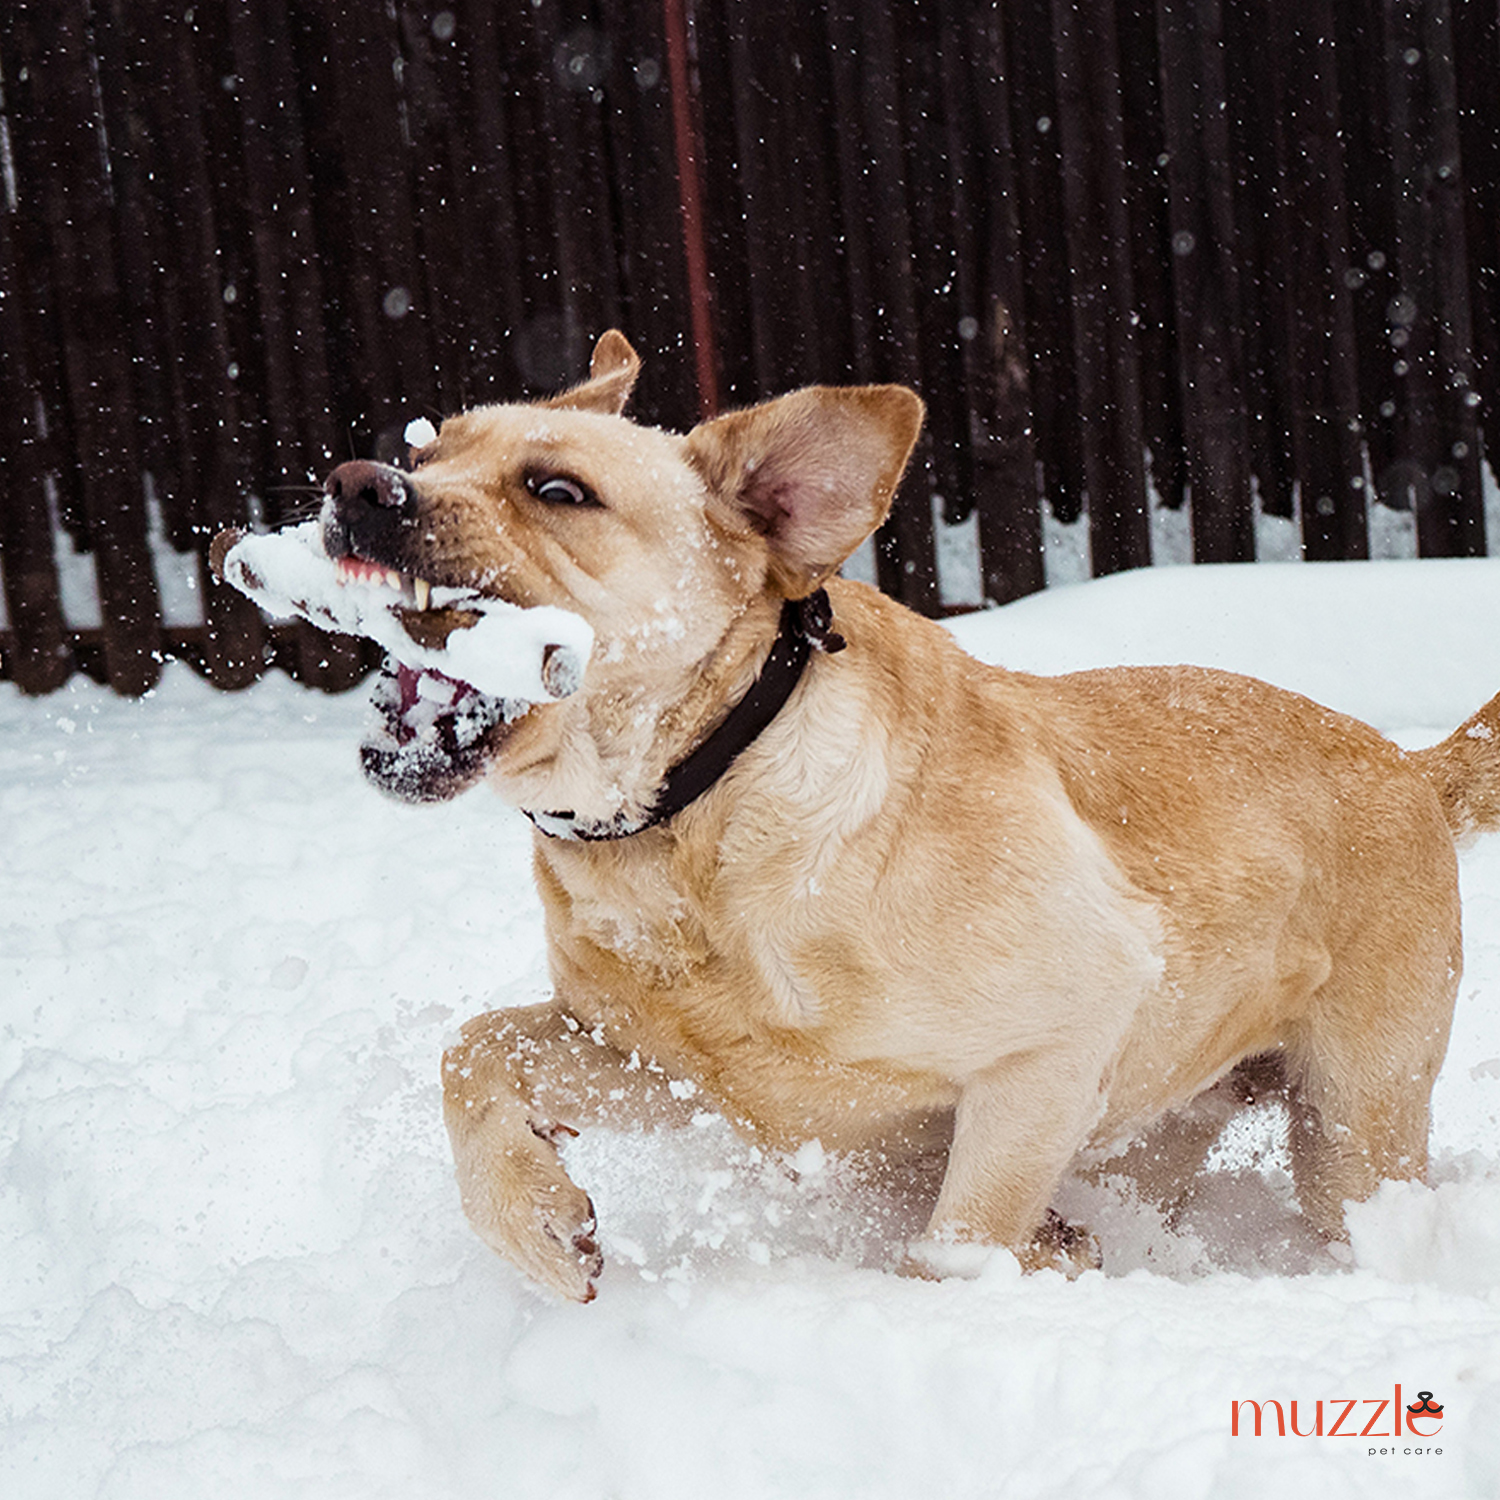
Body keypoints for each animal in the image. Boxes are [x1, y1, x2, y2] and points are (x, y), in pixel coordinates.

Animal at [319, 334, 1500, 1296]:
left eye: (557, 488)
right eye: (429, 447)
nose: (360, 486)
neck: (699, 813)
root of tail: (1410, 767)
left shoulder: (1061, 1040)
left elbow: (959, 1242)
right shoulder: (676, 1071)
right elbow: (472, 1052)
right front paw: (542, 1228)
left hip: (1353, 1124)